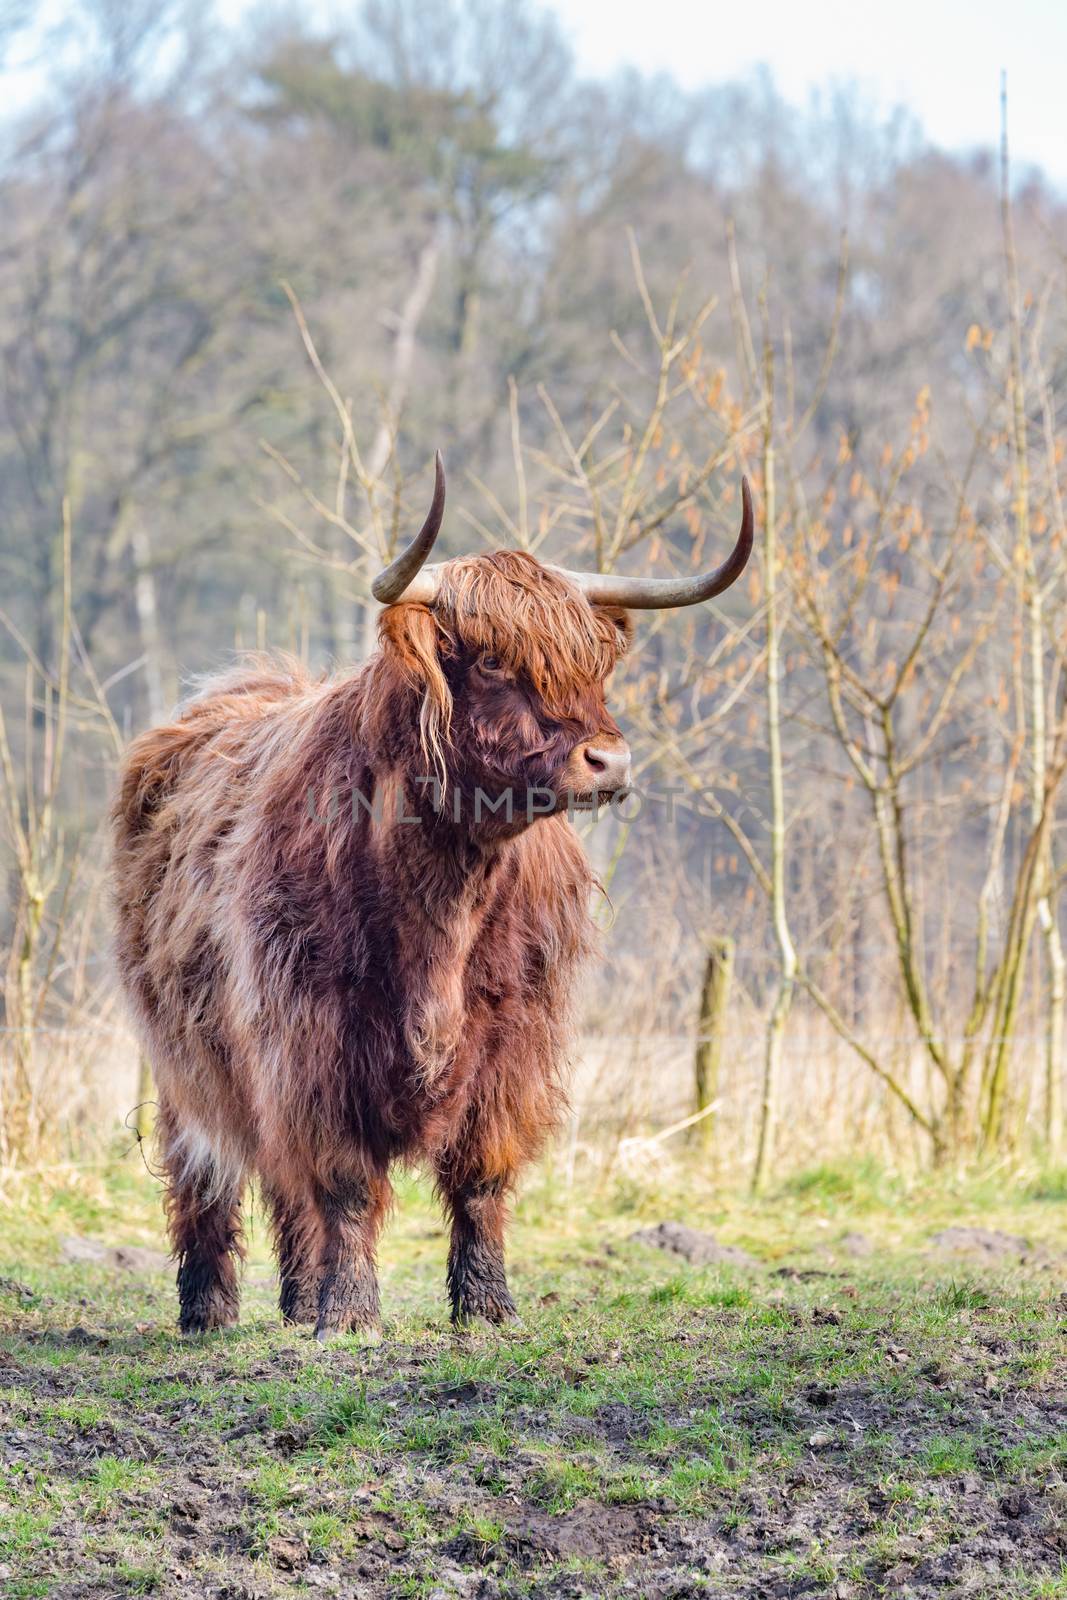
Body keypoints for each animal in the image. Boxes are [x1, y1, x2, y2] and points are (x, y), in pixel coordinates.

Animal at [110, 457, 751, 1344]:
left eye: (592, 661)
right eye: (489, 662)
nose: (609, 761)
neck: (442, 897)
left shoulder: (513, 1037)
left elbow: (479, 1177)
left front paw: (485, 1306)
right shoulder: (310, 1037)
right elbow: (343, 1182)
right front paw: (350, 1315)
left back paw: (299, 1300)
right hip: (183, 1054)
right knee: (209, 1167)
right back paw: (210, 1309)